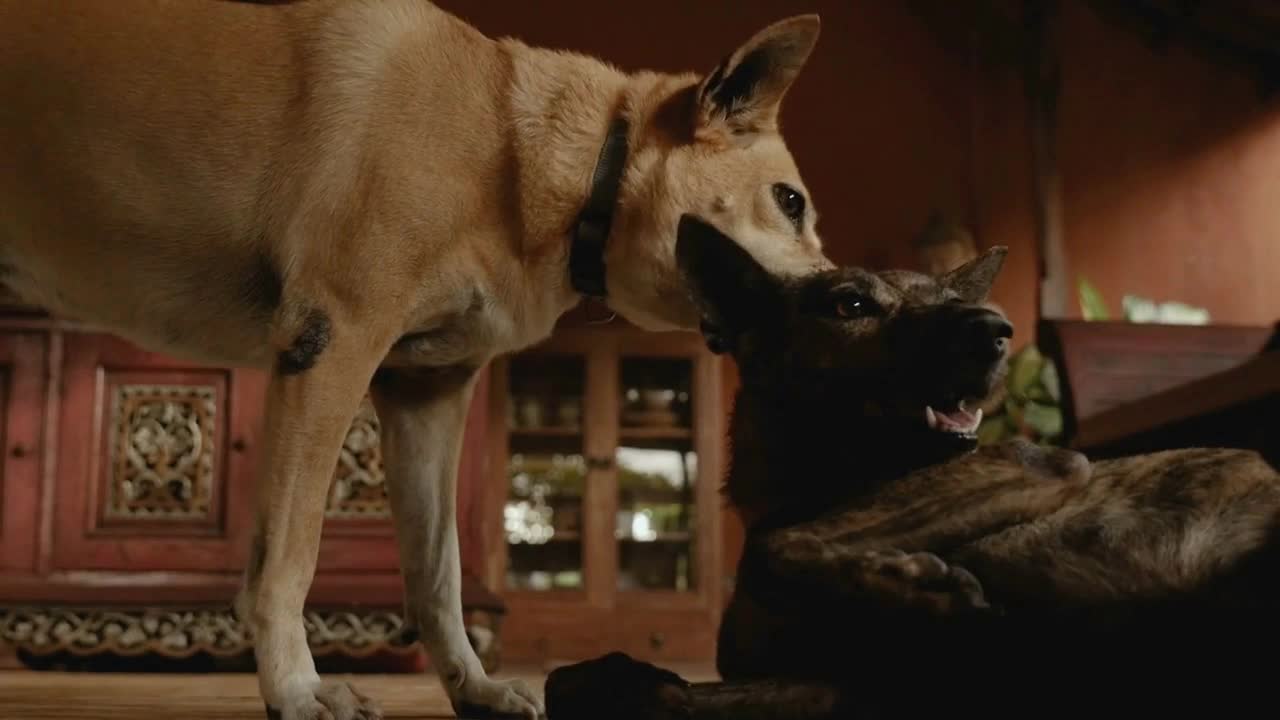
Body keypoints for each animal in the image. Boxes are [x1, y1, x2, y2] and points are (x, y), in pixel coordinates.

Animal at [0, 1, 829, 717]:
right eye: (790, 201)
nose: (844, 291)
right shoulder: (334, 344)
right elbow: (288, 557)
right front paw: (296, 690)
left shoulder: (425, 393)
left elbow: (439, 572)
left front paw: (474, 687)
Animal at [545, 212, 1280, 717]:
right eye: (851, 304)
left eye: (954, 301)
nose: (996, 331)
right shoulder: (840, 685)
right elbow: (578, 680)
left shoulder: (1036, 461)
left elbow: (771, 550)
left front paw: (910, 586)